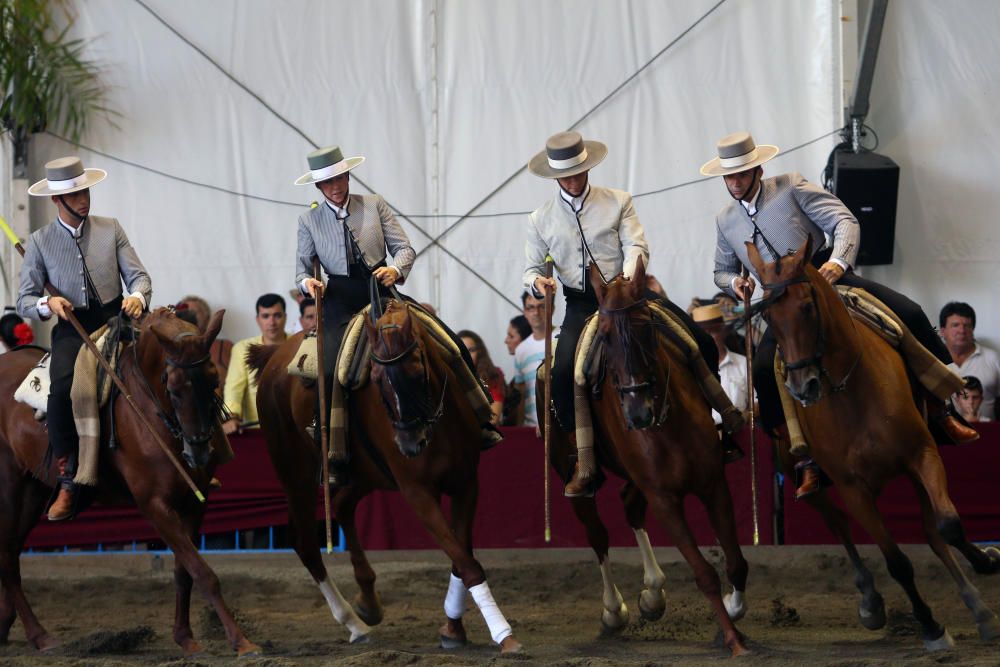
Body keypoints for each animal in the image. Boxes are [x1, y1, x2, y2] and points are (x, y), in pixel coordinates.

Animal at [0, 310, 260, 656]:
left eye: (214, 380)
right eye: (173, 388)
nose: (200, 452)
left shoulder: (193, 504)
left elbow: (185, 571)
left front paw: (185, 637)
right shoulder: (155, 506)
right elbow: (203, 572)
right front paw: (240, 640)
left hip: (31, 490)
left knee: (11, 552)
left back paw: (10, 627)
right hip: (8, 488)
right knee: (6, 556)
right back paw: (39, 635)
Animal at [250, 300, 524, 656]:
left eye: (418, 370)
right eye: (377, 379)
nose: (410, 444)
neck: (437, 424)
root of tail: (274, 357)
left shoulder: (467, 483)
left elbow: (461, 557)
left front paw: (453, 628)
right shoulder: (417, 492)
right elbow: (465, 562)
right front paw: (502, 632)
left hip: (366, 475)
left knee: (342, 506)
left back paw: (367, 601)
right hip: (294, 473)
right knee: (305, 542)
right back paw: (353, 622)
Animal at [540, 260, 752, 656]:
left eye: (646, 327)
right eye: (605, 336)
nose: (638, 414)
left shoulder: (712, 484)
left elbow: (735, 562)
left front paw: (734, 612)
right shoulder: (664, 499)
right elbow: (704, 573)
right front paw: (733, 638)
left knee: (629, 505)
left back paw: (653, 594)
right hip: (570, 475)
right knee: (598, 534)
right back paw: (614, 612)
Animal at [752, 240, 1000, 652]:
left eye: (807, 305)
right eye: (768, 315)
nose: (803, 387)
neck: (850, 391)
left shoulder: (922, 456)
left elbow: (947, 526)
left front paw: (986, 565)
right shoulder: (854, 490)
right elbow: (897, 561)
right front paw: (930, 626)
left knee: (932, 532)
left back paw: (977, 603)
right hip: (802, 479)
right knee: (837, 524)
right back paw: (870, 600)